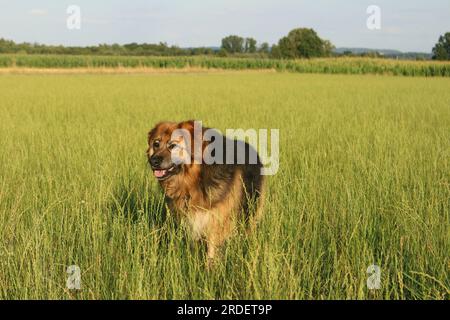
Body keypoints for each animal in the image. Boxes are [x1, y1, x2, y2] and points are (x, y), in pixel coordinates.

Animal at [146, 120, 266, 262]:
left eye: (173, 146)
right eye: (156, 144)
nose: (153, 161)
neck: (195, 180)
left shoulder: (217, 224)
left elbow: (211, 253)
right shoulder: (191, 222)